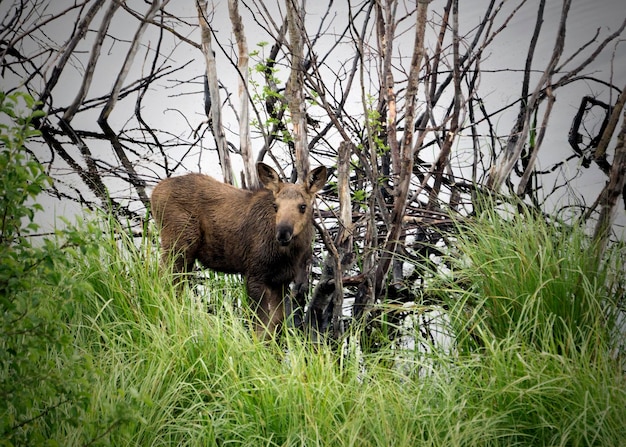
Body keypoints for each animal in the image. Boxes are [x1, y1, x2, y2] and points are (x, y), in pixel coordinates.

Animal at [151, 163, 326, 338]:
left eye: (303, 206)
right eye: (275, 206)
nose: (283, 233)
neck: (288, 255)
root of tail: (154, 192)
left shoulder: (281, 280)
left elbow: (275, 324)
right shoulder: (255, 274)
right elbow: (259, 326)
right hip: (177, 246)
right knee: (162, 283)